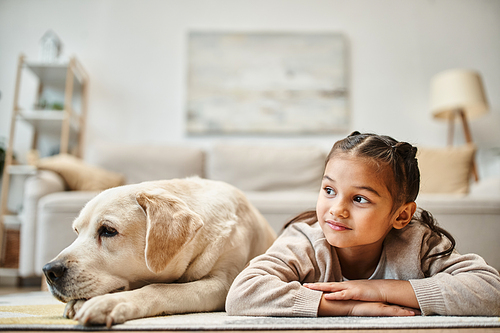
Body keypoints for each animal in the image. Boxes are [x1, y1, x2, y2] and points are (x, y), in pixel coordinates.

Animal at [42, 178, 278, 326]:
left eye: (108, 231)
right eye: (76, 231)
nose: (49, 271)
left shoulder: (222, 284)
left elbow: (160, 288)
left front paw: (111, 303)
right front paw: (79, 302)